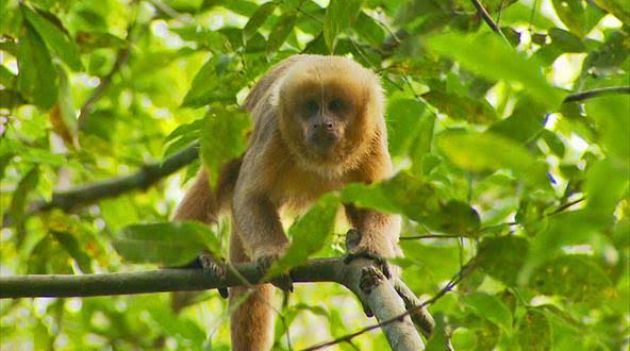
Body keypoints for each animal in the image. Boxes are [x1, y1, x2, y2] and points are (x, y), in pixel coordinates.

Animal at [173, 55, 402, 351]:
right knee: (219, 174)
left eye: (336, 106)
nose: (322, 123)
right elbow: (250, 194)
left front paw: (375, 250)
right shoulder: (273, 125)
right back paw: (193, 260)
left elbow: (381, 201)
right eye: (310, 107)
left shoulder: (373, 133)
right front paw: (274, 256)